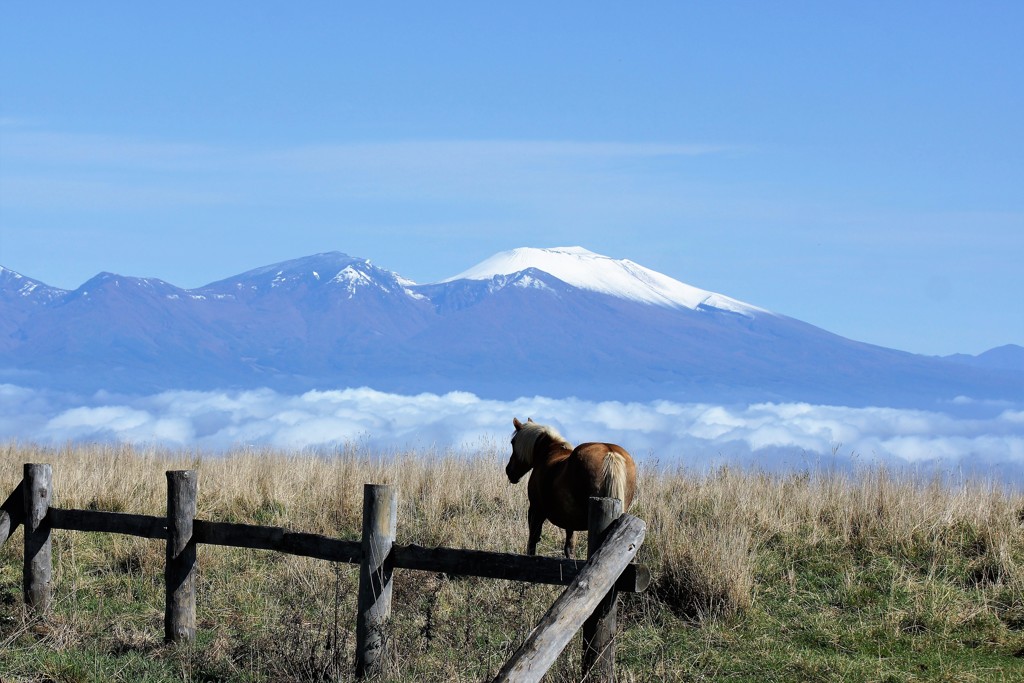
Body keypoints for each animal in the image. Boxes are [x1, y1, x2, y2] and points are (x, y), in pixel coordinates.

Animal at [505, 419, 634, 557]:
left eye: (513, 442)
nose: (508, 470)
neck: (549, 452)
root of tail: (609, 452)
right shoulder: (570, 522)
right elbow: (569, 547)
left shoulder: (536, 510)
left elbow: (532, 542)